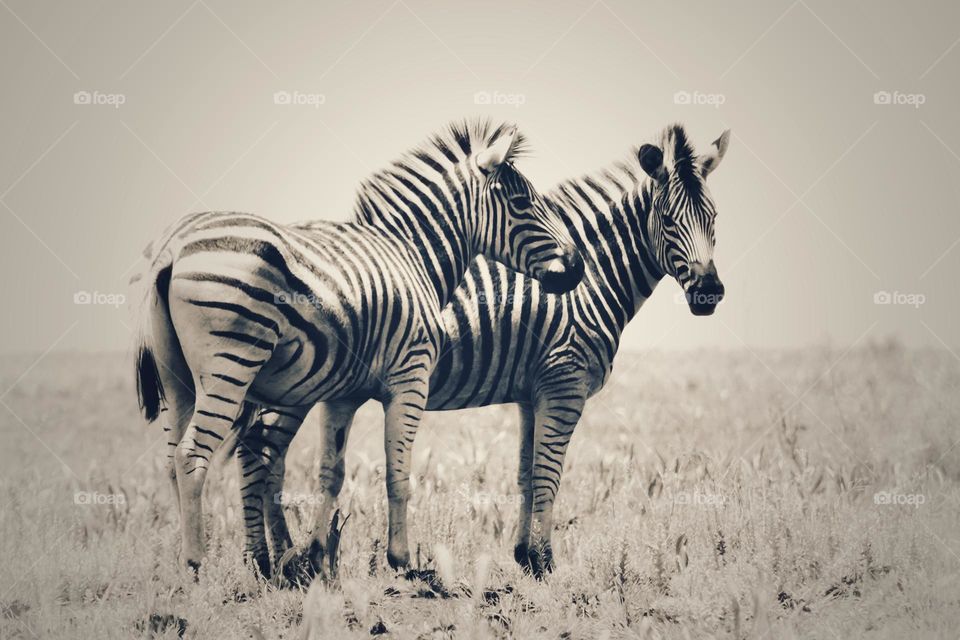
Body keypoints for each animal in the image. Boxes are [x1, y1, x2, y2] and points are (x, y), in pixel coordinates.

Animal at [131, 120, 585, 577]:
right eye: (522, 203)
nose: (578, 266)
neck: (412, 256)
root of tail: (173, 247)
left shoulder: (342, 394)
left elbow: (331, 472)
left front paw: (316, 558)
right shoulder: (410, 377)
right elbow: (398, 474)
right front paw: (402, 561)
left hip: (177, 378)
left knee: (172, 459)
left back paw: (194, 562)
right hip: (231, 364)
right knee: (192, 455)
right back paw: (195, 565)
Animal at [237, 124, 731, 579]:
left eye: (715, 218)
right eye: (668, 220)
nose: (708, 293)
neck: (591, 282)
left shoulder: (533, 394)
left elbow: (527, 473)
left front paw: (525, 557)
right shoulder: (565, 384)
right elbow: (549, 475)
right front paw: (546, 562)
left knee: (266, 456)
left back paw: (283, 561)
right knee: (259, 454)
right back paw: (270, 562)